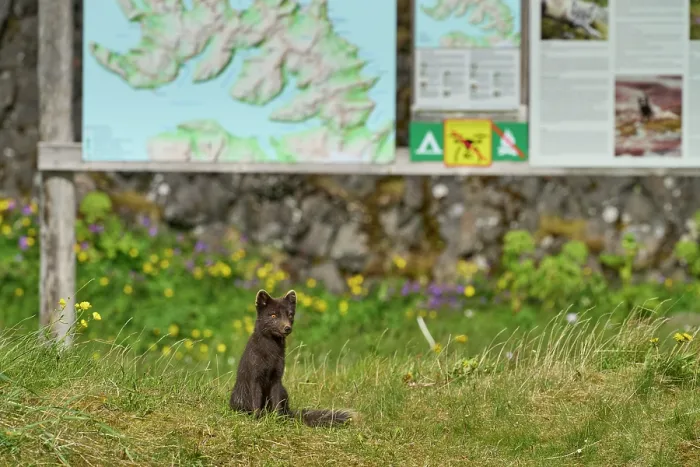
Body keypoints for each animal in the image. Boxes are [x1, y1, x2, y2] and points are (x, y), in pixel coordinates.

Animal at [229, 289, 357, 427]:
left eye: (290, 315)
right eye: (273, 315)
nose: (287, 328)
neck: (270, 355)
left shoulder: (277, 378)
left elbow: (276, 403)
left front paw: (277, 420)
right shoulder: (255, 377)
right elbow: (256, 403)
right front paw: (257, 420)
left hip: (283, 391)